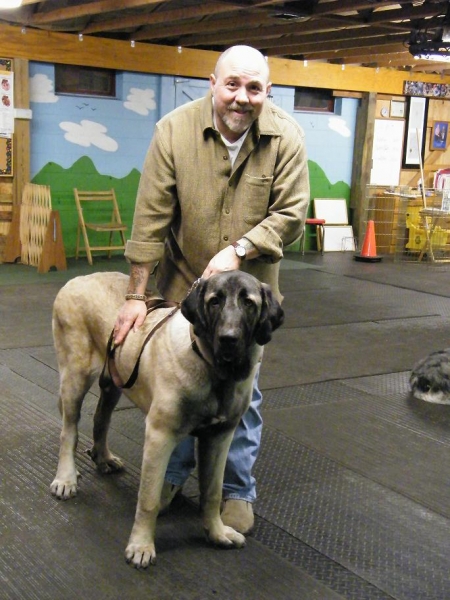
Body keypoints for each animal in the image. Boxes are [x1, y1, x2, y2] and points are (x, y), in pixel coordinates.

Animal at [51, 270, 284, 568]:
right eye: (214, 301)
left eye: (249, 303)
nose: (228, 338)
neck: (215, 372)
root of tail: (78, 278)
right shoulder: (160, 436)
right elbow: (149, 498)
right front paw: (141, 545)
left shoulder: (220, 437)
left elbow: (212, 492)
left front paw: (217, 533)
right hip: (75, 375)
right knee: (69, 431)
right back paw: (66, 478)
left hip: (114, 378)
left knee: (101, 417)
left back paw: (103, 458)